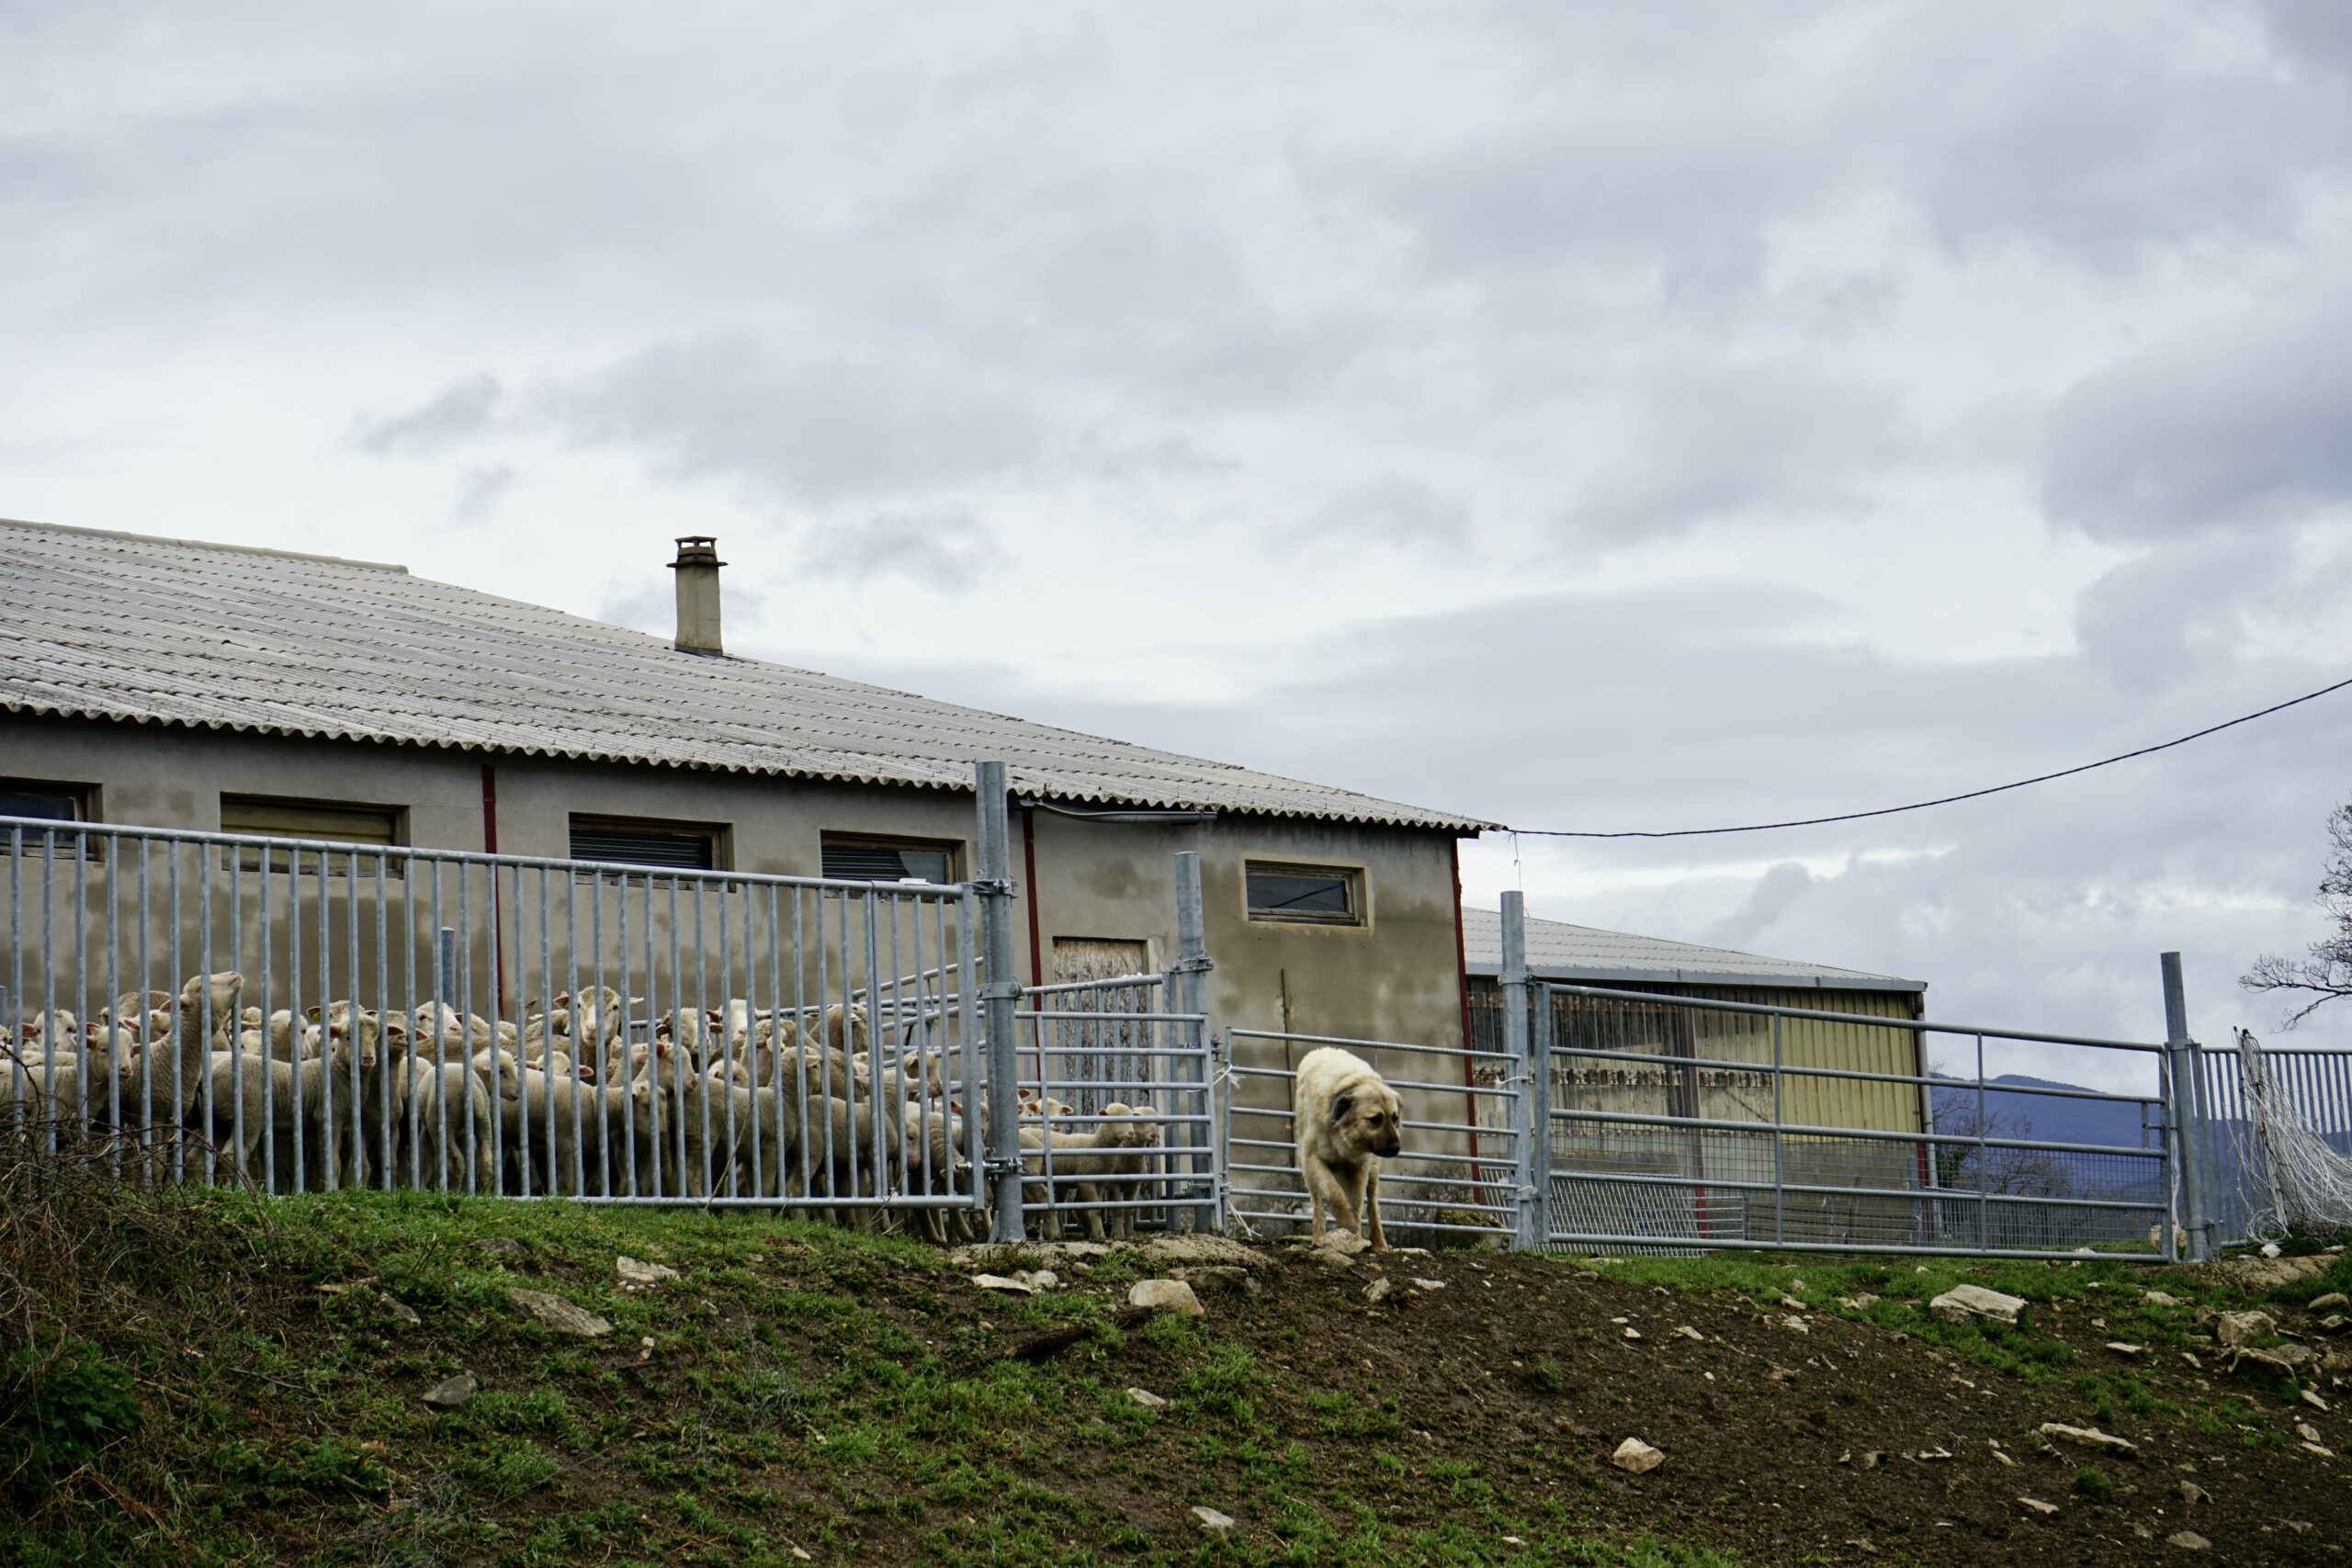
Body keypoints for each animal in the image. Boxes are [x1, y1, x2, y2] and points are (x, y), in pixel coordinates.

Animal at [1291, 1046, 1403, 1250]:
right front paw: (1347, 1222)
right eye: (1375, 1119)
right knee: (1318, 1205)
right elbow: (1334, 1193)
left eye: (1394, 1118)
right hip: (1309, 1173)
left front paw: (1354, 1235)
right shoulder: (1313, 1159)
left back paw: (1379, 1244)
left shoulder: (1361, 1165)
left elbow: (1357, 1203)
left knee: (1372, 1205)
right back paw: (1318, 1237)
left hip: (1373, 1171)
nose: (1396, 1148)